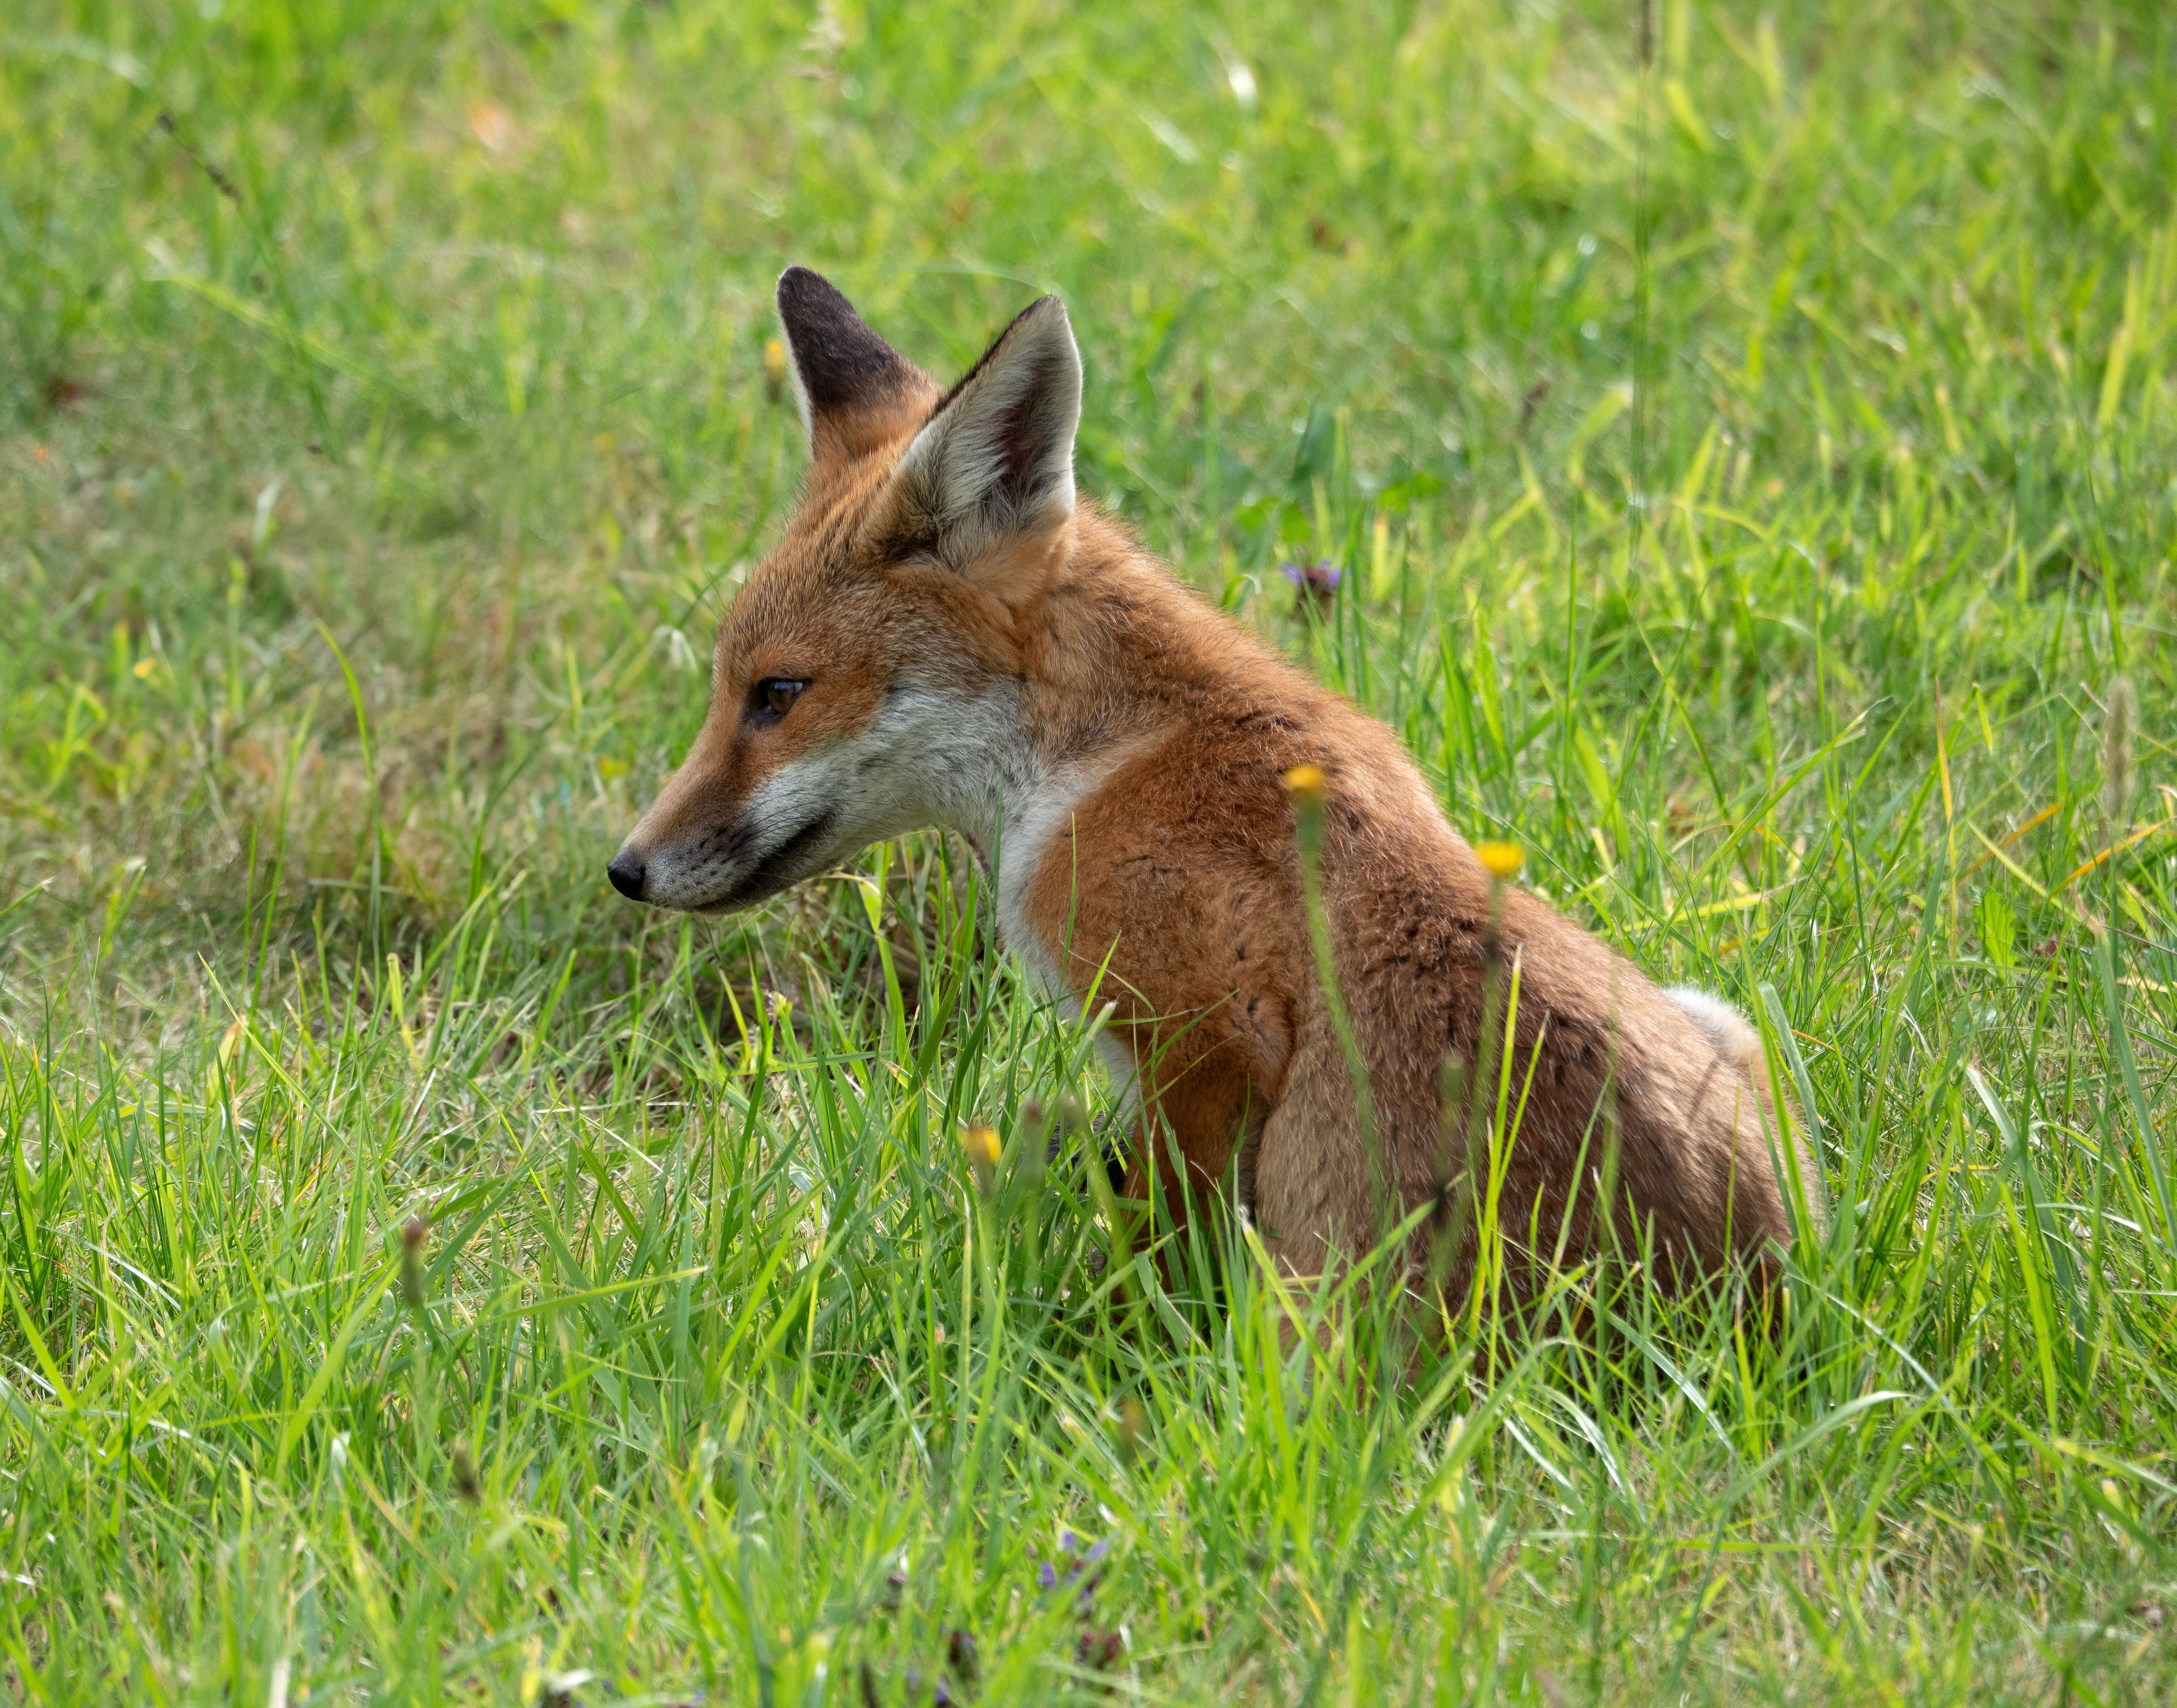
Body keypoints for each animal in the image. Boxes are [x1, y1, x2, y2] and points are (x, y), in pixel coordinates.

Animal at [608, 266, 1817, 1299]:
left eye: (776, 694)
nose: (625, 870)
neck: (1099, 763)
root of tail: (1735, 1315)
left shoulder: (1206, 1038)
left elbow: (1155, 1251)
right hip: (1723, 1025)